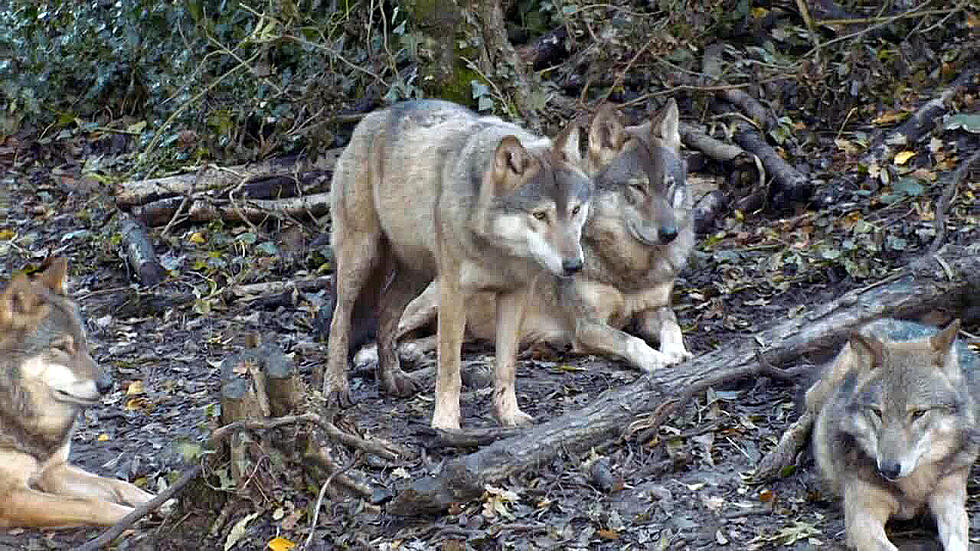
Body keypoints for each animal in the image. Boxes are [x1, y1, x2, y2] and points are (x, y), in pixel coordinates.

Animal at [0, 258, 155, 528]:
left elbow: (116, 483)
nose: (107, 385)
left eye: (84, 343)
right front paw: (131, 518)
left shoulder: (53, 471)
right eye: (61, 347)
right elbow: (91, 504)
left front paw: (157, 502)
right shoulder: (10, 496)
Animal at [326, 101, 592, 434]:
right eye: (540, 215)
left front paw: (508, 415)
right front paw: (445, 424)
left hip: (417, 274)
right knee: (340, 322)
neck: (498, 251)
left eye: (575, 210)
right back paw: (336, 388)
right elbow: (450, 367)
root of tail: (372, 117)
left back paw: (393, 379)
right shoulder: (454, 293)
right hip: (361, 260)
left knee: (385, 314)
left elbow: (506, 365)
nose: (574, 265)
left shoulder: (515, 295)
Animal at [362, 99, 696, 376]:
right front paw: (656, 358)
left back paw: (412, 351)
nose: (669, 233)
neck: (629, 267)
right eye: (637, 187)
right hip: (432, 300)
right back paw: (370, 356)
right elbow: (631, 341)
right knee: (388, 324)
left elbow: (673, 327)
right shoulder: (587, 326)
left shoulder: (656, 308)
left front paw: (677, 352)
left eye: (668, 184)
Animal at [808, 320, 976, 551]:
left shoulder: (950, 501)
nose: (888, 469)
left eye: (918, 413)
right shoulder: (862, 517)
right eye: (878, 413)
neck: (914, 485)